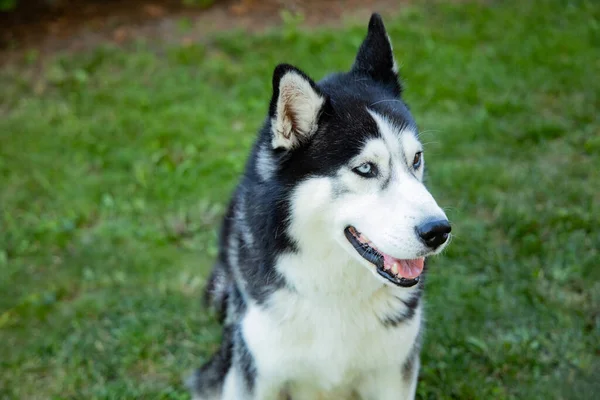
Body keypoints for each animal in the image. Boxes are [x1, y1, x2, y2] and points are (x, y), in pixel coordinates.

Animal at [190, 13, 452, 400]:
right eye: (365, 168)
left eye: (416, 159)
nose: (439, 231)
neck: (335, 292)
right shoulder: (257, 374)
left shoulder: (394, 373)